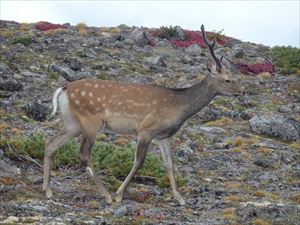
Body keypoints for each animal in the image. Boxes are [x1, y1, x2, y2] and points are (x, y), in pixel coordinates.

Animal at [42, 25, 244, 206]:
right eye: (227, 79)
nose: (241, 90)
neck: (179, 107)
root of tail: (64, 89)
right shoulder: (146, 129)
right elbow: (139, 162)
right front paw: (119, 195)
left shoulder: (164, 136)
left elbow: (169, 164)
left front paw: (180, 199)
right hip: (90, 121)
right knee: (83, 153)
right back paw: (106, 195)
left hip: (73, 123)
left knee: (51, 143)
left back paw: (48, 190)